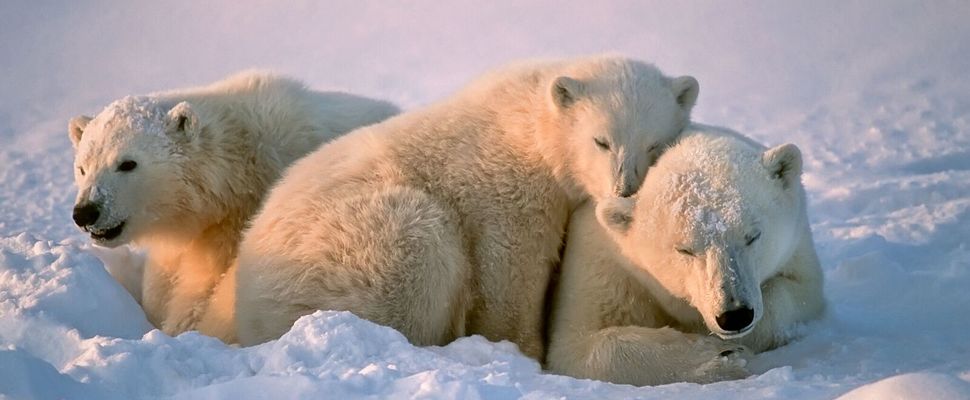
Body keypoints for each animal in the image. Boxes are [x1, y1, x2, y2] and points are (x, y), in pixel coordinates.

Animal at [234, 55, 701, 360]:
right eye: (601, 140)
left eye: (655, 145)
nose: (625, 189)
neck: (530, 126)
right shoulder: (505, 186)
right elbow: (509, 270)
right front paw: (522, 350)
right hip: (352, 249)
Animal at [546, 124, 826, 385]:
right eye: (685, 250)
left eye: (752, 236)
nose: (734, 315)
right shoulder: (604, 265)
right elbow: (576, 345)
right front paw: (719, 357)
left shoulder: (797, 245)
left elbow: (801, 295)